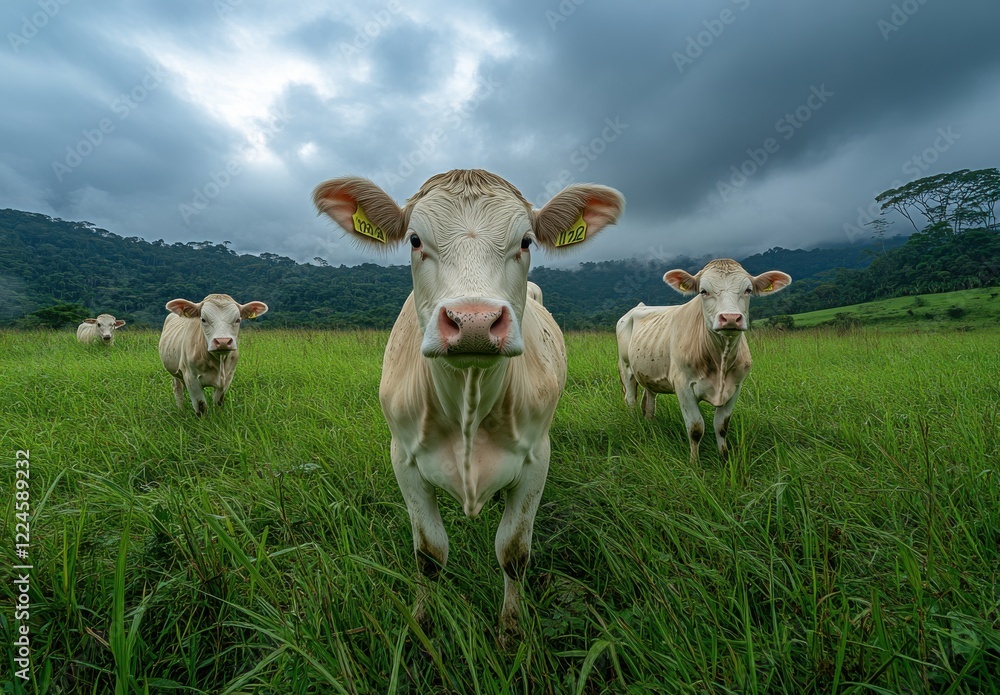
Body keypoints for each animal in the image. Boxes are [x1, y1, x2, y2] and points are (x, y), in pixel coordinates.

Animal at [313, 169, 625, 638]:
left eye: (526, 241)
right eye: (415, 240)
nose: (474, 321)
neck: (469, 405)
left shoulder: (537, 460)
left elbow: (513, 552)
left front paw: (511, 632)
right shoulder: (403, 460)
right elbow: (429, 555)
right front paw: (423, 625)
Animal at [616, 259, 791, 463]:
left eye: (748, 290)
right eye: (703, 291)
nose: (730, 318)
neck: (721, 360)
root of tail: (640, 306)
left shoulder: (736, 386)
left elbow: (721, 426)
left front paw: (724, 457)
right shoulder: (683, 386)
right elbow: (695, 428)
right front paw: (694, 464)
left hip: (648, 372)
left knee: (649, 402)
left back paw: (650, 427)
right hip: (625, 368)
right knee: (630, 400)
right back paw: (635, 425)